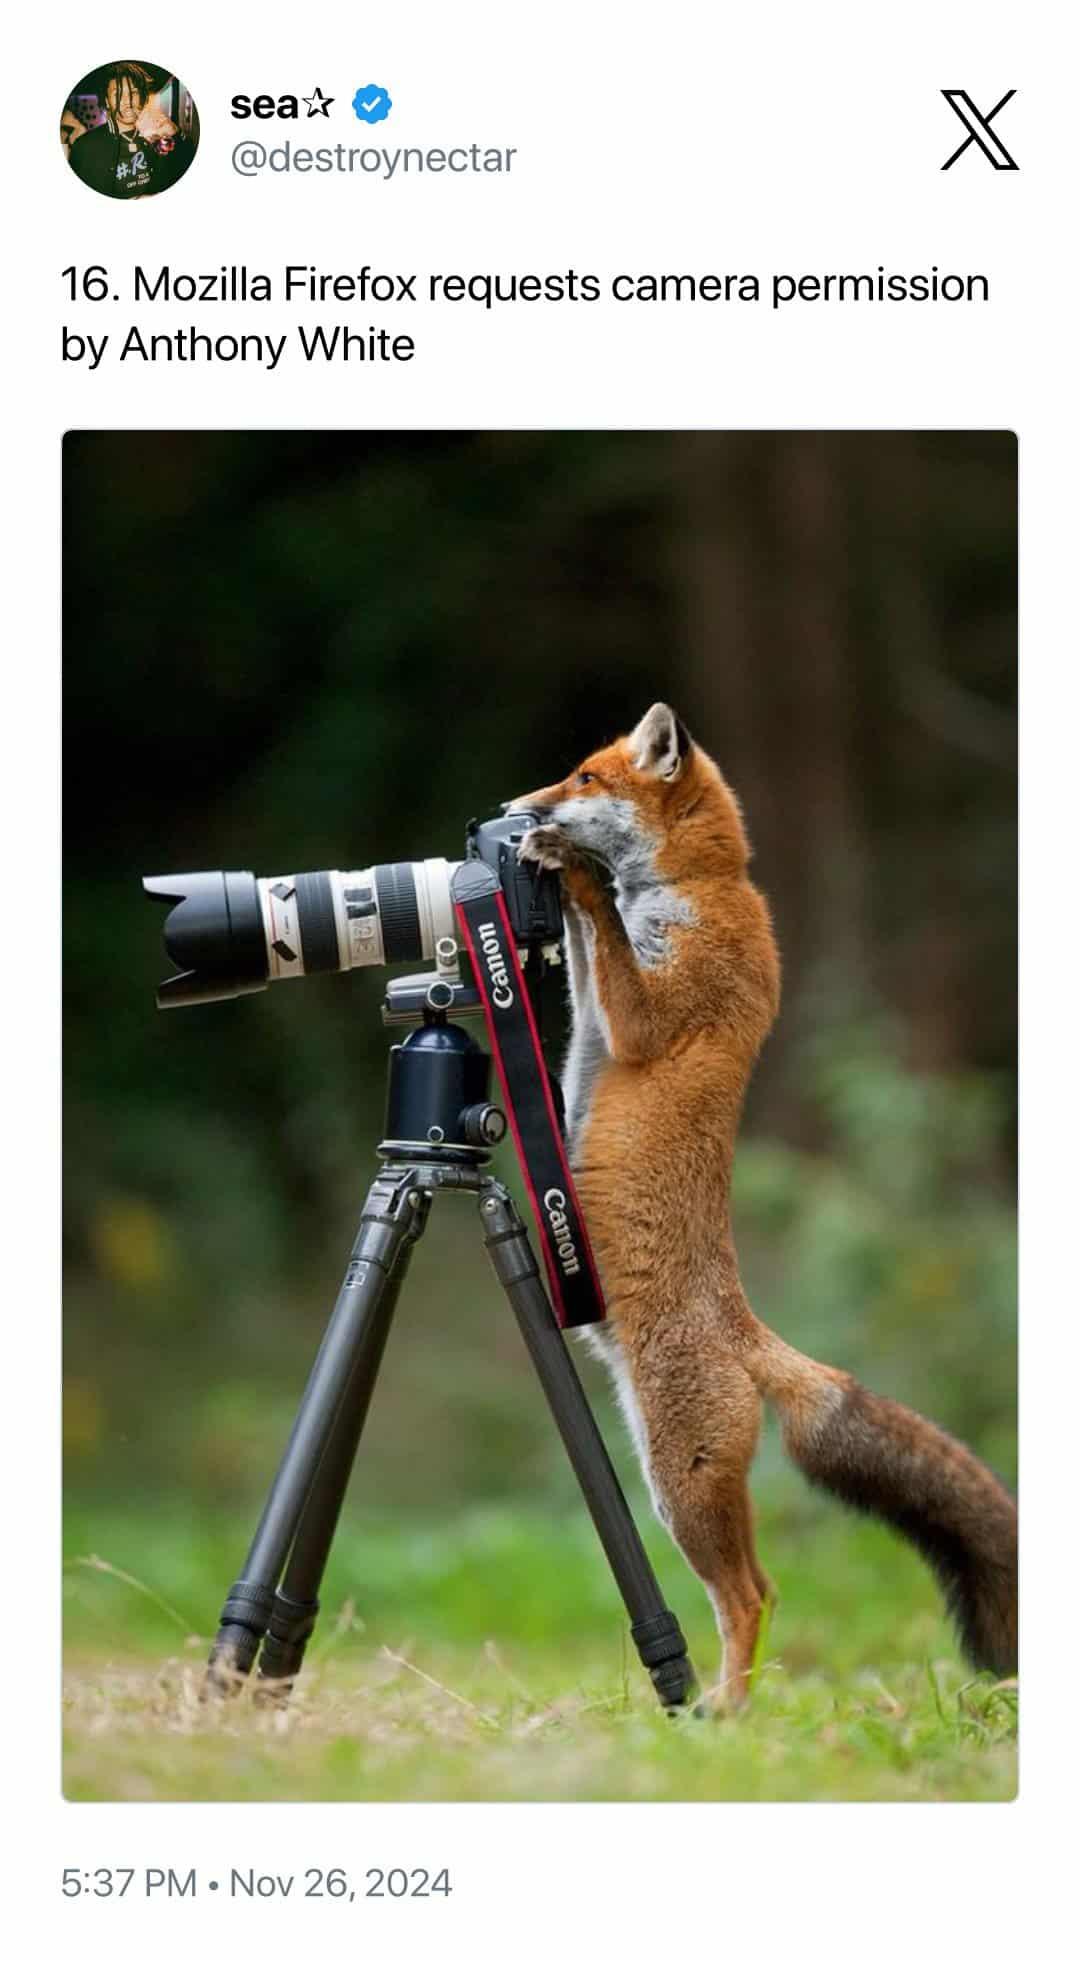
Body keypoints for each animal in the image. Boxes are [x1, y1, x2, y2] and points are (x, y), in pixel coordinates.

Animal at [509, 701, 1017, 1708]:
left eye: (584, 779)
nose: (513, 809)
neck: (701, 890)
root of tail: (747, 1331)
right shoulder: (598, 1009)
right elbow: (587, 962)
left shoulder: (653, 1015)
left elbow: (606, 936)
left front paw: (575, 873)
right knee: (758, 1592)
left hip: (678, 1481)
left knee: (752, 1595)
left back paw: (729, 1710)